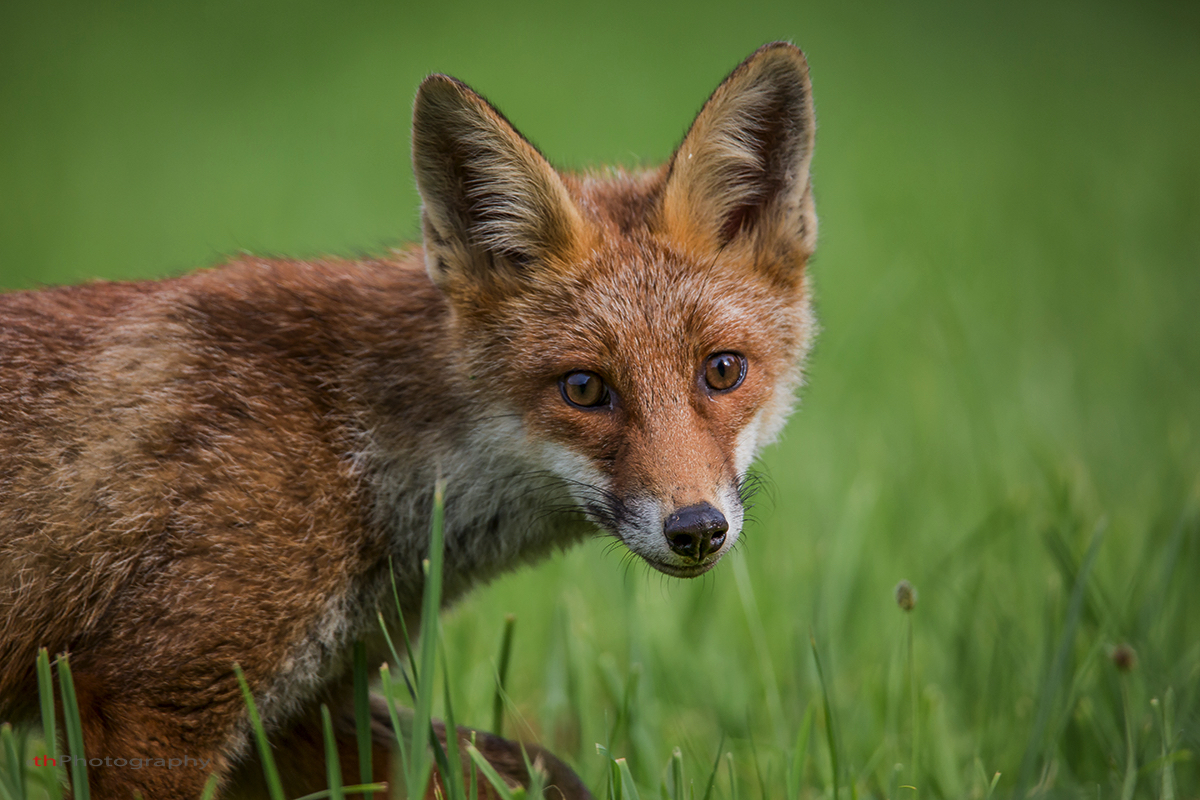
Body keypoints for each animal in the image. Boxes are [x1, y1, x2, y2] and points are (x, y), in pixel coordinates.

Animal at [0, 43, 816, 800]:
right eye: (584, 388)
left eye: (722, 370)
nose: (697, 529)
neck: (352, 446)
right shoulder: (151, 698)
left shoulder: (303, 717)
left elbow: (521, 768)